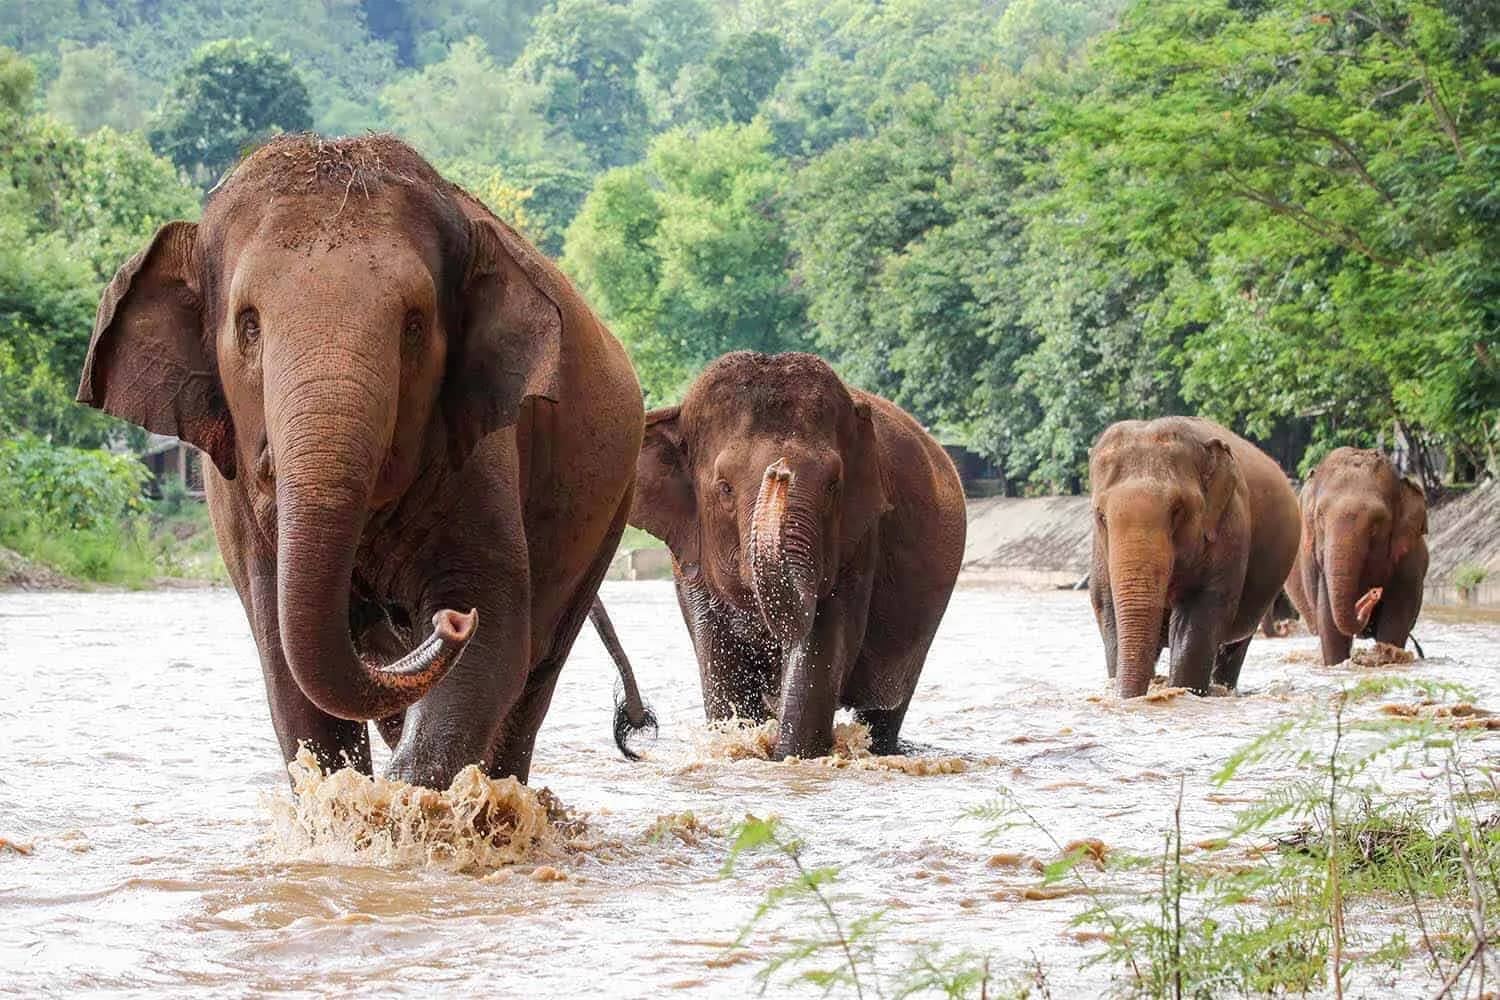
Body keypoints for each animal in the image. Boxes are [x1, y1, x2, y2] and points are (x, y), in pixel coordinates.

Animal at [77, 133, 654, 787]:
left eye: (414, 326)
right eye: (248, 325)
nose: (451, 621)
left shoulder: (479, 450)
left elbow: (496, 637)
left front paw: (400, 803)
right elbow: (287, 667)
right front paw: (346, 799)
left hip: (609, 512)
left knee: (534, 671)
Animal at [628, 351, 966, 760]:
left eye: (834, 484)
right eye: (724, 487)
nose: (780, 471)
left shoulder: (859, 539)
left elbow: (822, 640)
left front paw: (792, 755)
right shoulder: (688, 558)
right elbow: (718, 656)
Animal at [1088, 417, 1301, 698]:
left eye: (1177, 510)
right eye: (1100, 515)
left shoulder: (1228, 528)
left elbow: (1198, 612)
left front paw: (1185, 691)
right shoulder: (1100, 550)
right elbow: (1108, 607)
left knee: (1234, 648)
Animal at [1284, 447, 1429, 665]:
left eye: (1377, 523)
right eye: (1320, 516)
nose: (1374, 593)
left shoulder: (1407, 565)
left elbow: (1396, 619)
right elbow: (1329, 623)